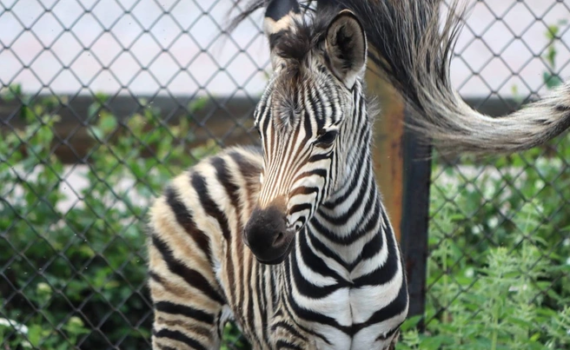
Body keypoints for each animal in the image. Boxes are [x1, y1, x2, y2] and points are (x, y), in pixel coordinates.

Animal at [145, 0, 568, 348]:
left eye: (327, 136)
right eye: (261, 131)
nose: (262, 237)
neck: (347, 253)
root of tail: (216, 158)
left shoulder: (380, 339)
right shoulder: (291, 337)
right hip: (183, 313)